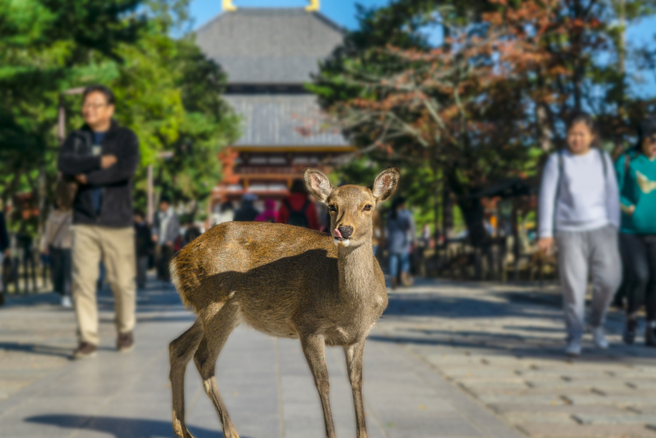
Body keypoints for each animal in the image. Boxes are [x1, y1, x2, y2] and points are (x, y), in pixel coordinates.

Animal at [168, 168, 400, 438]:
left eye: (368, 206)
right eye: (332, 206)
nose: (344, 230)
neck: (349, 309)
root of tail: (177, 259)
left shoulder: (359, 334)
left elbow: (356, 380)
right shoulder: (307, 325)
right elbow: (323, 382)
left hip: (208, 310)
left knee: (178, 346)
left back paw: (183, 430)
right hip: (218, 307)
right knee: (203, 358)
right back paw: (230, 431)